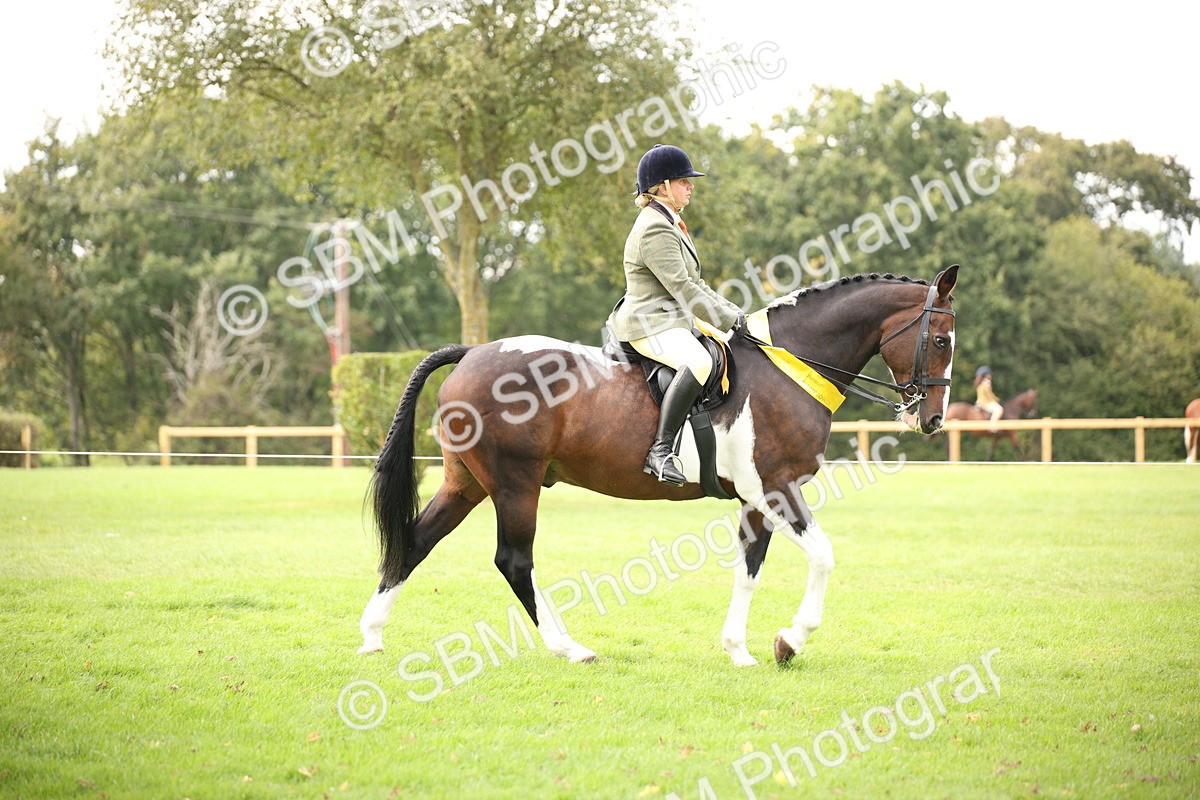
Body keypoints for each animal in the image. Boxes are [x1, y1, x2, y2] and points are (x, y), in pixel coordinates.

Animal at [358, 267, 958, 667]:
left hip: (466, 483)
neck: (790, 366)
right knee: (514, 561)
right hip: (515, 484)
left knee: (416, 541)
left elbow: (749, 567)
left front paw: (739, 650)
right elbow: (824, 557)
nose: (930, 419)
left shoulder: (755, 498)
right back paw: (569, 647)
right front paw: (791, 640)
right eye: (940, 339)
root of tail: (471, 354)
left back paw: (372, 636)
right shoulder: (777, 488)